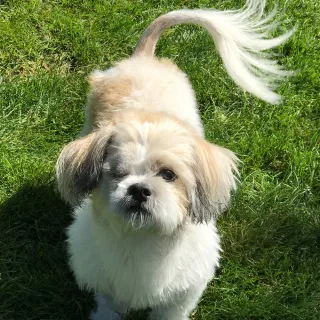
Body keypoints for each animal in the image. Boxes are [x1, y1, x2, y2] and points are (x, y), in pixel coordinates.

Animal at [55, 1, 292, 318]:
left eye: (168, 174)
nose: (139, 189)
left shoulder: (182, 294)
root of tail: (143, 59)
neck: (143, 240)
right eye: (116, 173)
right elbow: (108, 308)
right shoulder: (107, 287)